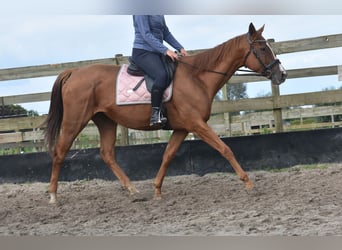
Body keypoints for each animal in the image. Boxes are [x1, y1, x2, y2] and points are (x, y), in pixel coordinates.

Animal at [44, 23, 286, 203]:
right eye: (263, 49)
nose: (282, 74)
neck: (197, 77)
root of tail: (74, 72)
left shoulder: (181, 128)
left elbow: (168, 155)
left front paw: (157, 189)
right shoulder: (197, 124)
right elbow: (225, 149)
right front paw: (248, 182)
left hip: (106, 121)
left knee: (107, 154)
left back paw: (132, 189)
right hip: (75, 120)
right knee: (60, 151)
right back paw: (53, 195)